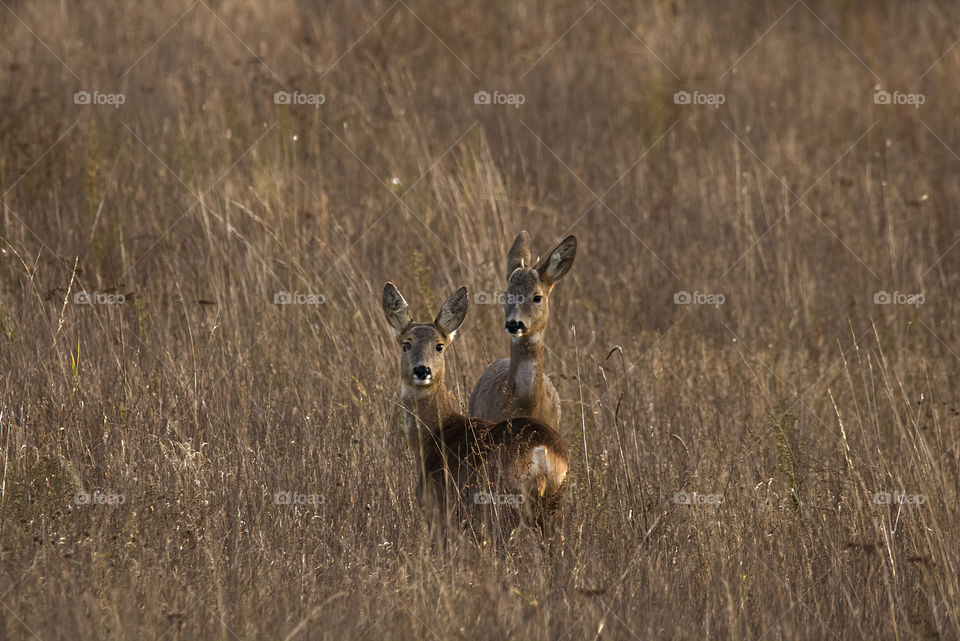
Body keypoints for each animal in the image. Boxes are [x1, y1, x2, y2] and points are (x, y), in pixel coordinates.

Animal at [380, 280, 568, 536]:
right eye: (405, 345)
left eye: (439, 346)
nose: (422, 370)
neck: (434, 433)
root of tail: (543, 450)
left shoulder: (440, 510)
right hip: (554, 506)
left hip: (504, 503)